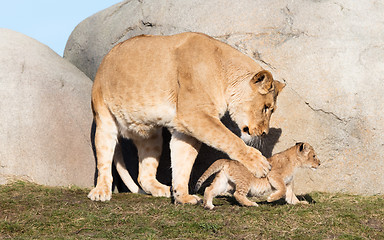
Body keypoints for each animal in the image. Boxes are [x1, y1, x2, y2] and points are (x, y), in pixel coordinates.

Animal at [88, 32, 284, 204]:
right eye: (266, 108)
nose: (264, 133)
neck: (224, 73)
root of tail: (107, 57)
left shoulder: (185, 129)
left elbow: (183, 163)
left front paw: (182, 196)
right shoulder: (194, 115)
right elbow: (230, 139)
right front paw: (259, 164)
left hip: (151, 137)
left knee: (143, 175)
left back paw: (162, 189)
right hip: (104, 119)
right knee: (104, 160)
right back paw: (100, 192)